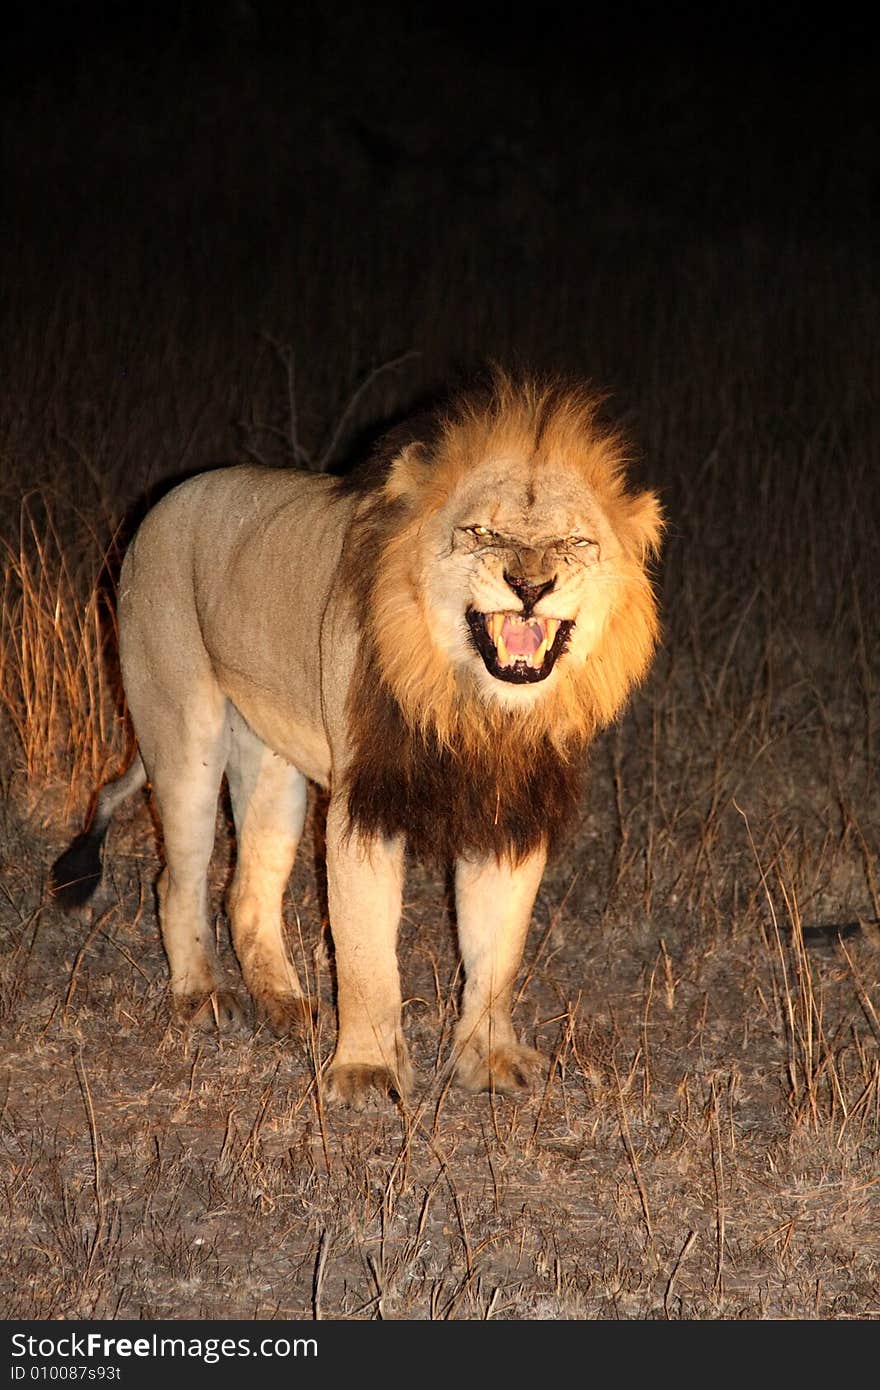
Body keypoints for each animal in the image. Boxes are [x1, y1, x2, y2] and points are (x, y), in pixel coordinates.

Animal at [53, 372, 658, 1106]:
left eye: (575, 543)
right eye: (481, 532)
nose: (530, 586)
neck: (476, 706)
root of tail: (162, 503)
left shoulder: (508, 810)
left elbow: (498, 947)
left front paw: (489, 1056)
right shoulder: (363, 803)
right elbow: (366, 949)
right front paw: (368, 1071)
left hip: (273, 765)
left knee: (245, 890)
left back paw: (285, 1004)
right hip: (182, 733)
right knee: (178, 879)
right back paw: (204, 997)